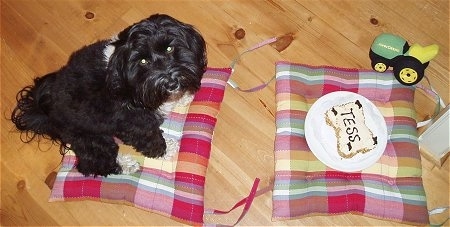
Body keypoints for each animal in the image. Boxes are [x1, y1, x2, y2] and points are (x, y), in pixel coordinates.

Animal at [10, 14, 207, 177]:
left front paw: (182, 96)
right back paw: (126, 165)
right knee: (94, 163)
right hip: (89, 136)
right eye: (143, 61)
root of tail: (46, 111)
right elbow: (151, 139)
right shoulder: (134, 123)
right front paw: (167, 149)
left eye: (169, 49)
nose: (171, 83)